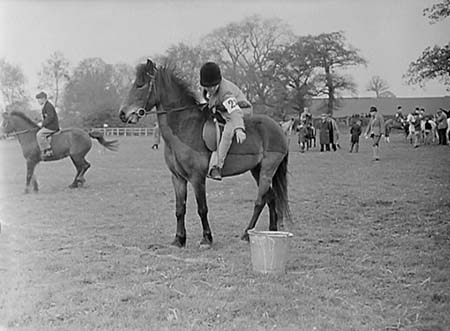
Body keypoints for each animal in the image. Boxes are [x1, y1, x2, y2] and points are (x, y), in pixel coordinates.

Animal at [118, 59, 290, 248]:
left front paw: (207, 238)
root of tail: (278, 127)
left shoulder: (197, 178)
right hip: (257, 170)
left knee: (260, 201)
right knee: (271, 198)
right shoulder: (178, 178)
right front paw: (179, 239)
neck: (185, 126)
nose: (122, 114)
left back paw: (246, 234)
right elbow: (180, 209)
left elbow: (202, 209)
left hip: (267, 169)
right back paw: (271, 231)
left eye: (140, 85)